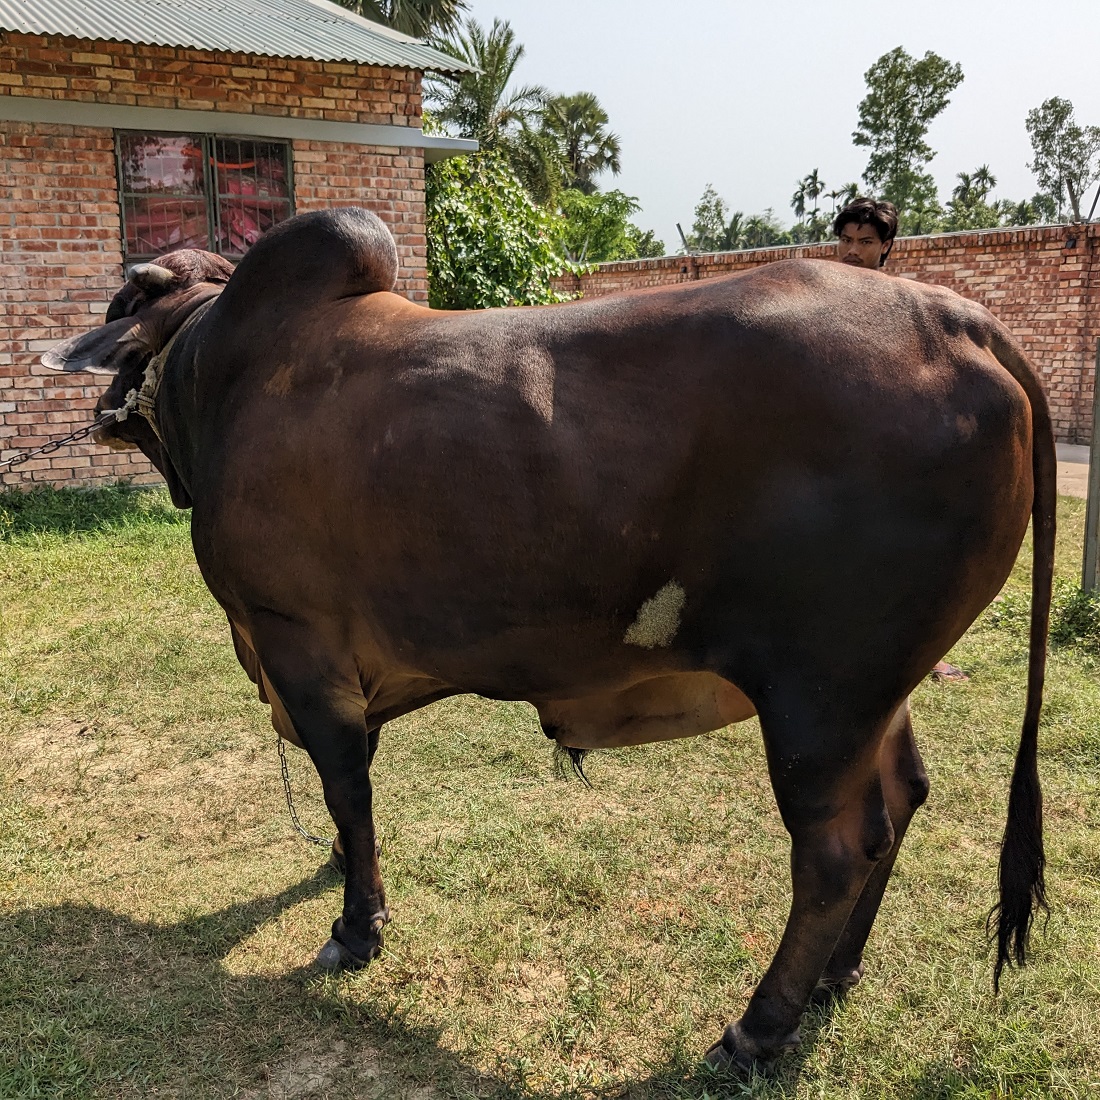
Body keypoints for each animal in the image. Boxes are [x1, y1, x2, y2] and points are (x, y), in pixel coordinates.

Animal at [45, 207, 1056, 1073]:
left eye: (124, 302)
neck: (218, 372)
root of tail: (954, 318)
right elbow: (350, 793)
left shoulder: (298, 644)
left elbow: (345, 786)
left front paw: (356, 926)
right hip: (880, 689)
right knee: (902, 801)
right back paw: (836, 978)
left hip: (822, 697)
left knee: (837, 850)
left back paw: (757, 1028)